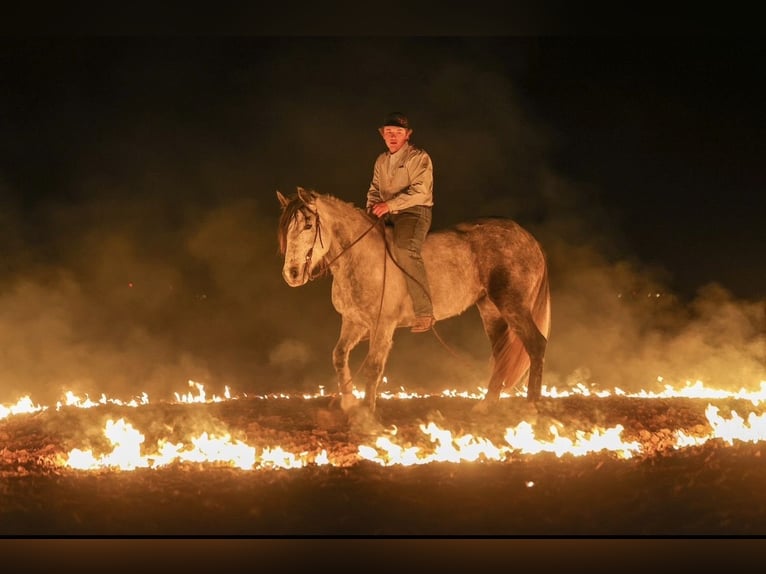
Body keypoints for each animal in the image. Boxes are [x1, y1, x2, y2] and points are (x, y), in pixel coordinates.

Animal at [277, 187, 551, 414]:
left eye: (308, 224)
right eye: (286, 228)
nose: (292, 274)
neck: (361, 257)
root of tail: (529, 239)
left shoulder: (382, 325)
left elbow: (373, 366)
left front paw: (367, 411)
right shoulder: (354, 322)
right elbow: (339, 356)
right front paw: (349, 402)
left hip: (513, 305)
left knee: (536, 344)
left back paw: (532, 405)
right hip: (491, 310)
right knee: (501, 354)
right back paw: (487, 404)